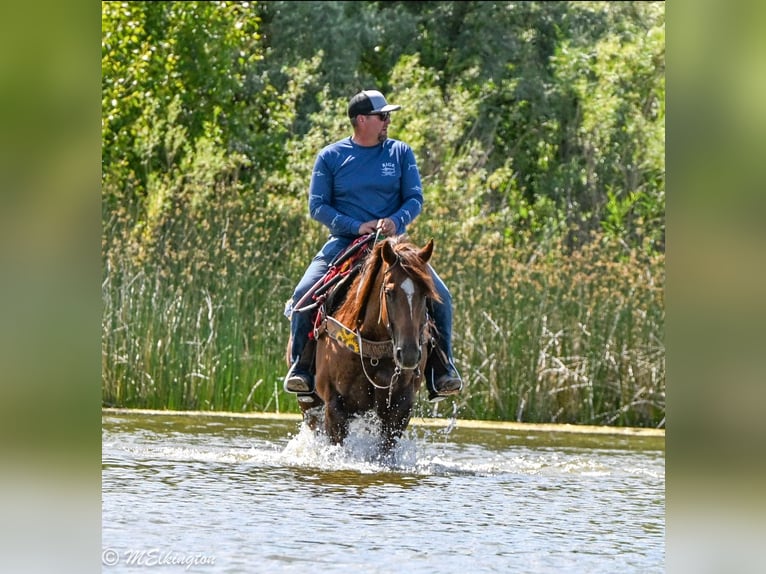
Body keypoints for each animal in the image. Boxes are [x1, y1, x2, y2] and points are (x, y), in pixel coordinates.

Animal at [289, 235, 440, 455]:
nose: (409, 354)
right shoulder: (334, 406)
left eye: (426, 294)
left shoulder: (400, 408)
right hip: (308, 405)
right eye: (389, 291)